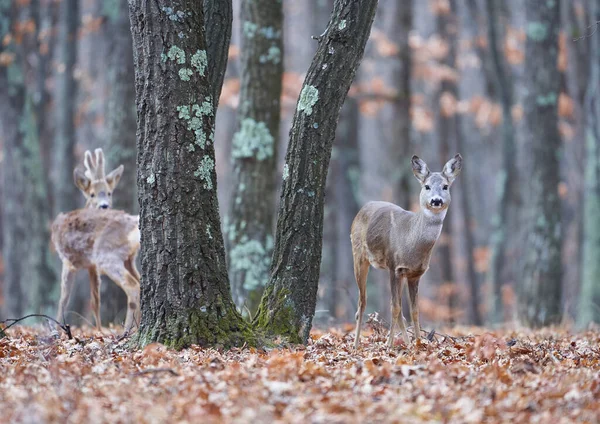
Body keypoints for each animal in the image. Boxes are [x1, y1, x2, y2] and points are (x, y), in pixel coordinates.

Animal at [51, 149, 141, 334]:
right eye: (91, 194)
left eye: (109, 192)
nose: (104, 205)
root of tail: (134, 222)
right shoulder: (91, 266)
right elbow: (95, 300)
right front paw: (98, 331)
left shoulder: (67, 261)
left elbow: (63, 298)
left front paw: (56, 330)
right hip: (128, 259)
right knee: (141, 281)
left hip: (106, 255)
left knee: (132, 285)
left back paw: (126, 330)